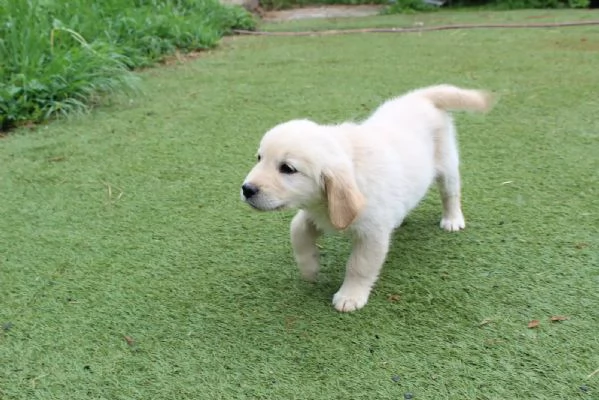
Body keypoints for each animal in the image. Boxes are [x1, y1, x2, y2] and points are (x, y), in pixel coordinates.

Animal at [241, 84, 494, 312]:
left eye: (287, 168)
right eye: (259, 158)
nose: (246, 189)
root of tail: (419, 96)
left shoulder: (371, 233)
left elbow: (359, 265)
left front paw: (350, 296)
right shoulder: (317, 212)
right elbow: (297, 231)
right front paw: (309, 268)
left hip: (447, 163)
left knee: (450, 193)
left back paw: (452, 219)